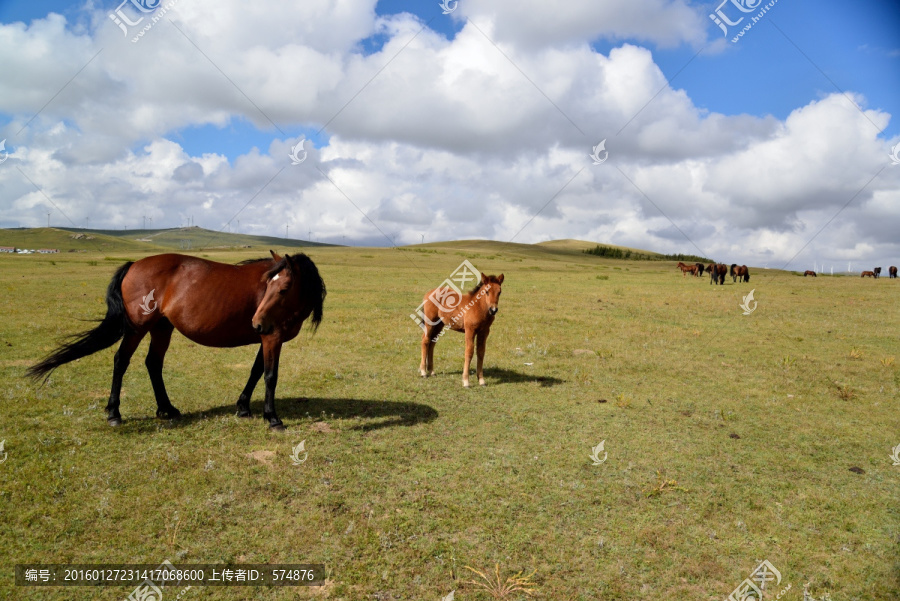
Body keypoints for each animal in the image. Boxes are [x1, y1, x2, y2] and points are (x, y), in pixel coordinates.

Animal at [26, 251, 326, 428]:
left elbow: (255, 371)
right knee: (121, 360)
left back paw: (166, 409)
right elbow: (269, 375)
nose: (256, 322)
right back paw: (114, 413)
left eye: (283, 288)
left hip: (161, 328)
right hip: (137, 327)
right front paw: (272, 417)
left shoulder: (266, 336)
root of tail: (134, 264)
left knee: (153, 363)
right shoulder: (271, 336)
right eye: (271, 286)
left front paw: (243, 407)